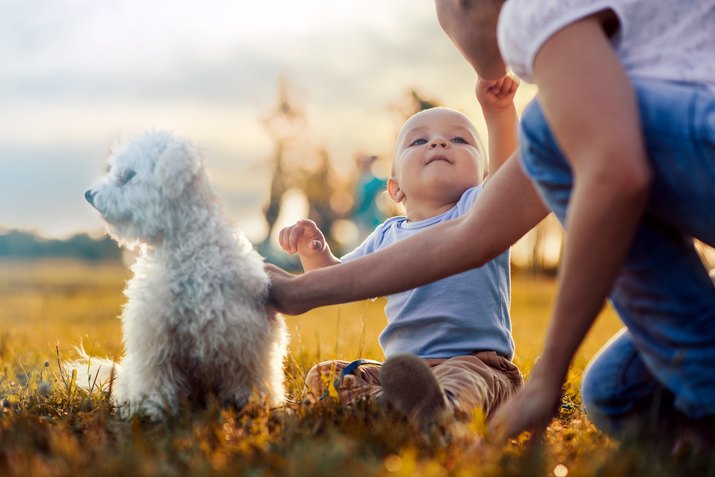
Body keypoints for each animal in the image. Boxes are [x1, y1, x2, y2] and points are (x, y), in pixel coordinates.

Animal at [77, 130, 288, 416]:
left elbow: (249, 381)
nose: (89, 194)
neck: (187, 249)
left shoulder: (243, 341)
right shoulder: (156, 340)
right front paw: (153, 410)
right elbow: (157, 380)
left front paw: (254, 406)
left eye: (129, 175)